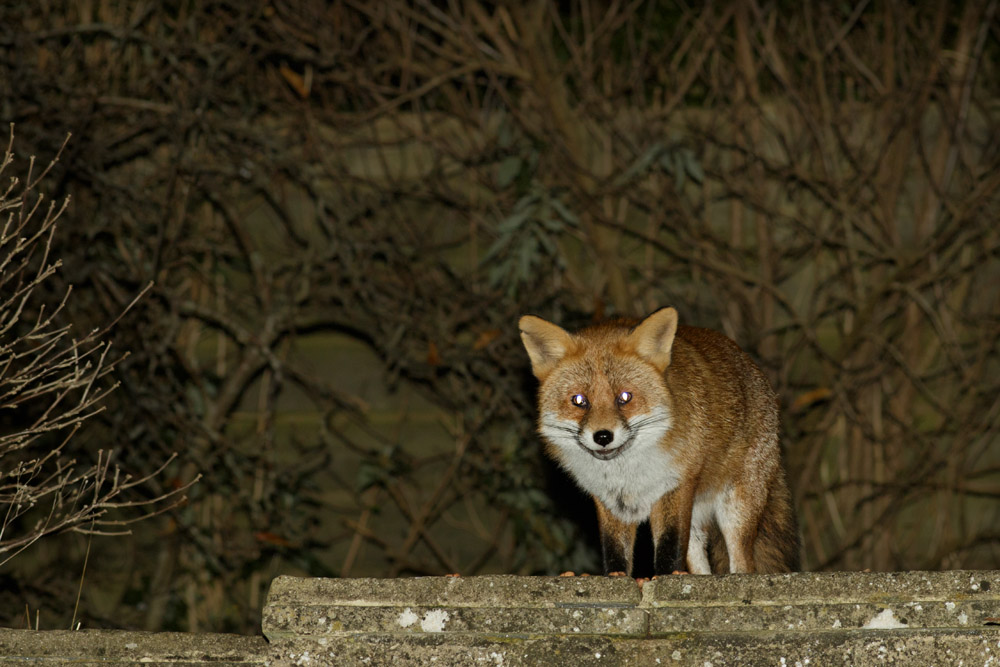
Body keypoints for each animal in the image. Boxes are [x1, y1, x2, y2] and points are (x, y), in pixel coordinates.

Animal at [519, 307, 799, 576]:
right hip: (697, 519)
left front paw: (665, 577)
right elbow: (614, 551)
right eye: (579, 400)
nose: (603, 436)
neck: (626, 473)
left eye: (625, 397)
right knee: (699, 563)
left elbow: (669, 544)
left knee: (742, 562)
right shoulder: (609, 500)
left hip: (736, 507)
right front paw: (617, 577)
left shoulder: (674, 486)